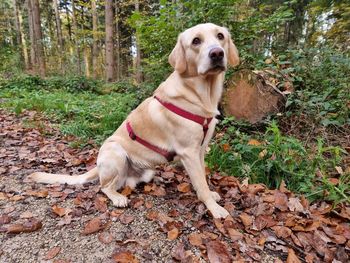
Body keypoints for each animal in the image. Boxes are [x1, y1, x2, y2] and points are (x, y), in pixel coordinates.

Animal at [28, 23, 239, 220]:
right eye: (196, 41)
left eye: (220, 36)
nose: (217, 53)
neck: (201, 94)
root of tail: (98, 165)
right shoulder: (189, 153)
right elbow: (201, 184)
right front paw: (214, 208)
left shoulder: (200, 150)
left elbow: (203, 177)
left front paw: (211, 195)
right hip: (117, 153)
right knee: (104, 187)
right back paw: (118, 198)